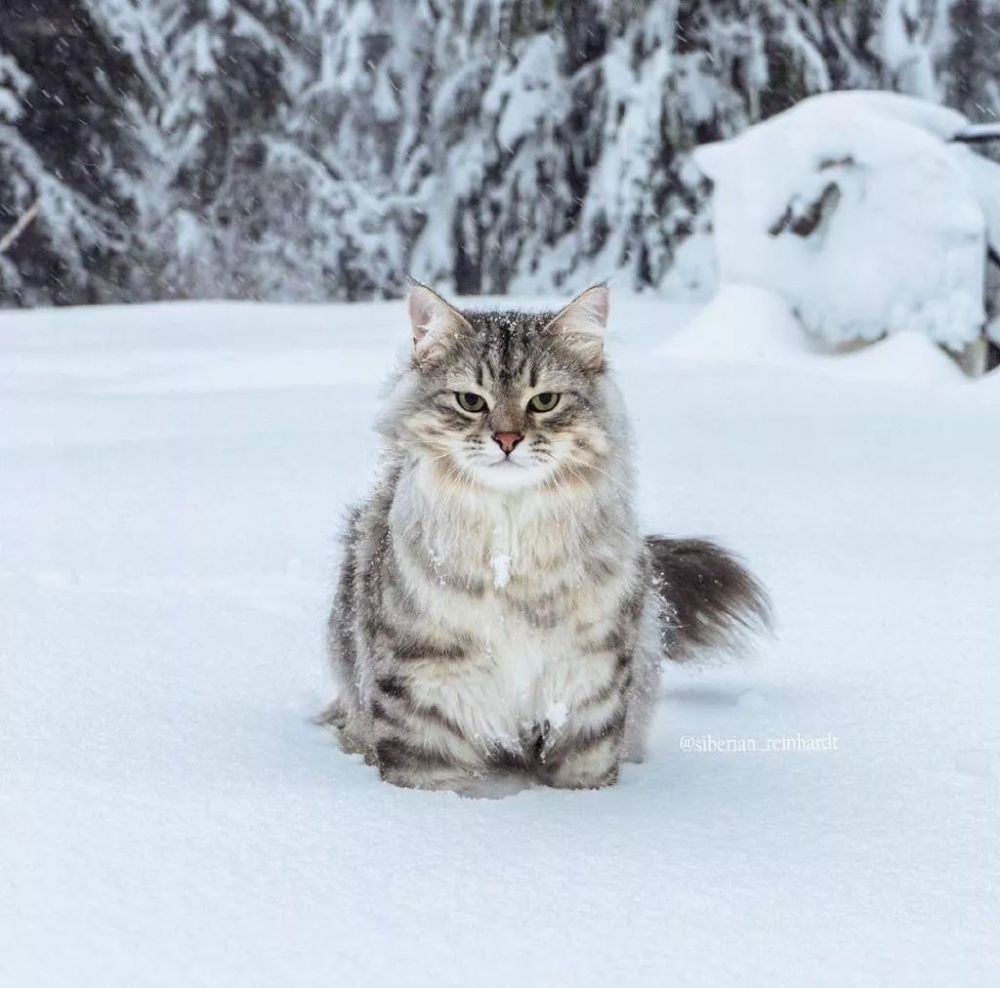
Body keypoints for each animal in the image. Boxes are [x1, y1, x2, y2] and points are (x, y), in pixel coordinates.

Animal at [324, 284, 768, 796]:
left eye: (544, 401)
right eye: (471, 401)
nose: (507, 439)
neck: (511, 552)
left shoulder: (588, 688)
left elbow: (586, 774)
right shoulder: (421, 693)